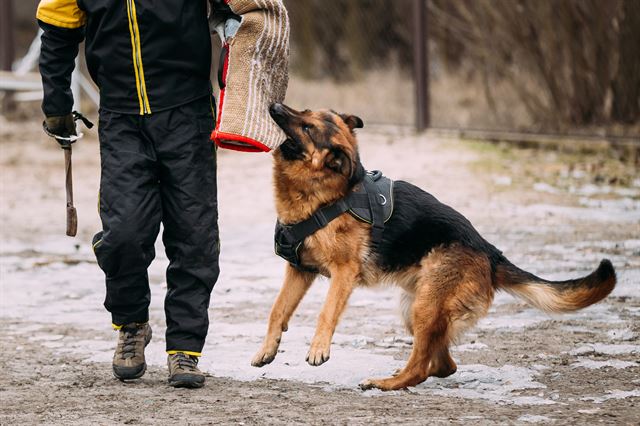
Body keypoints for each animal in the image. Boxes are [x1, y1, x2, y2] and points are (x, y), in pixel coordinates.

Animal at [252, 102, 616, 390]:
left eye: (307, 127)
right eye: (304, 111)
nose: (275, 105)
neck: (324, 193)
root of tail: (489, 251)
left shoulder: (343, 273)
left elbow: (326, 312)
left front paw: (318, 348)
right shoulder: (299, 270)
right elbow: (277, 310)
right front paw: (267, 349)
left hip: (425, 307)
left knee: (421, 366)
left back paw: (386, 383)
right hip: (415, 308)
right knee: (443, 365)